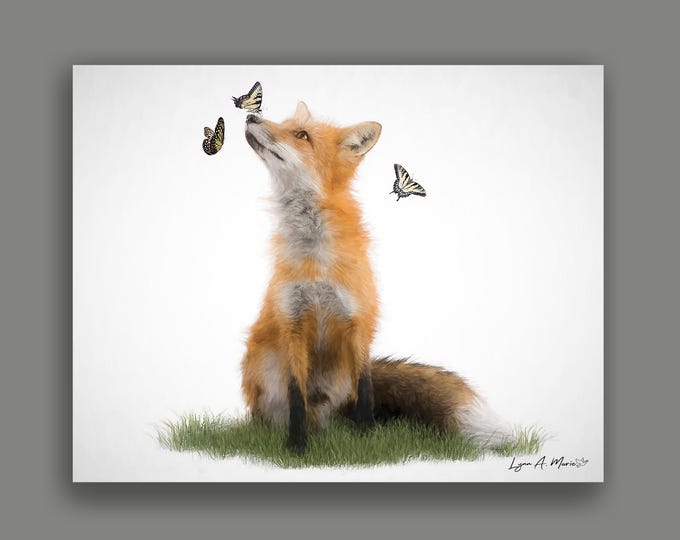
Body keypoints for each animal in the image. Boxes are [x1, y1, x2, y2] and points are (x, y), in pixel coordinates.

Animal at [241, 101, 514, 453]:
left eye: (300, 134)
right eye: (285, 124)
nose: (250, 116)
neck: (317, 259)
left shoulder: (358, 320)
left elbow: (366, 389)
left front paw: (367, 437)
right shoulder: (293, 322)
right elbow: (295, 396)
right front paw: (297, 447)